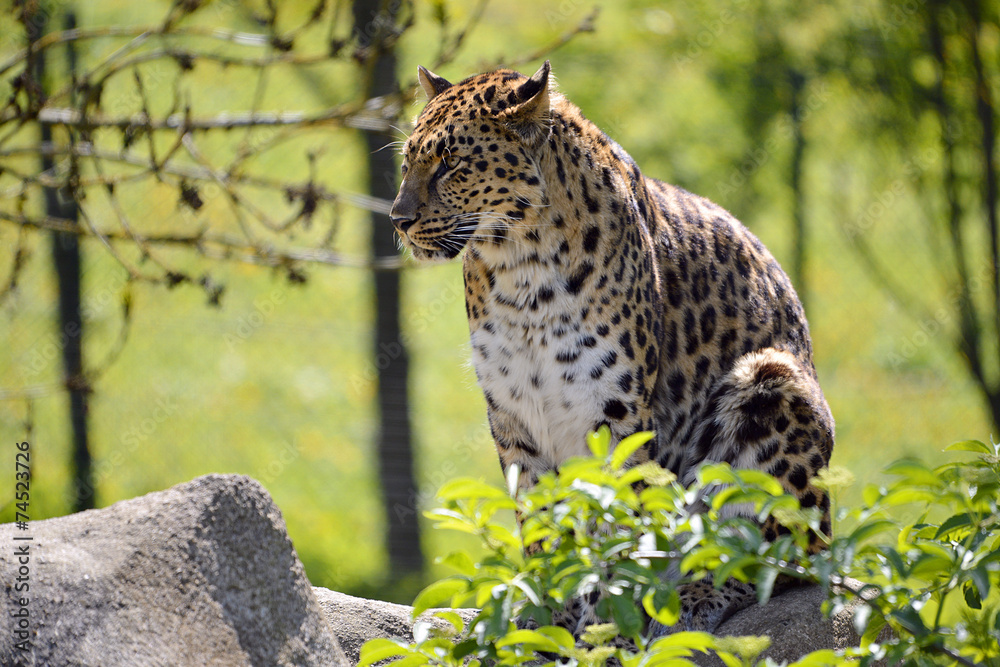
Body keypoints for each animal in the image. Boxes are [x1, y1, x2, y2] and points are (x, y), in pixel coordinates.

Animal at [389, 60, 835, 638]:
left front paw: (607, 629)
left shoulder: (615, 413)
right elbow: (540, 524)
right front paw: (546, 623)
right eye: (407, 162)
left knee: (786, 553)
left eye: (451, 162)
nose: (398, 220)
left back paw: (691, 597)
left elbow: (613, 527)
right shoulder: (513, 414)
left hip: (773, 380)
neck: (520, 273)